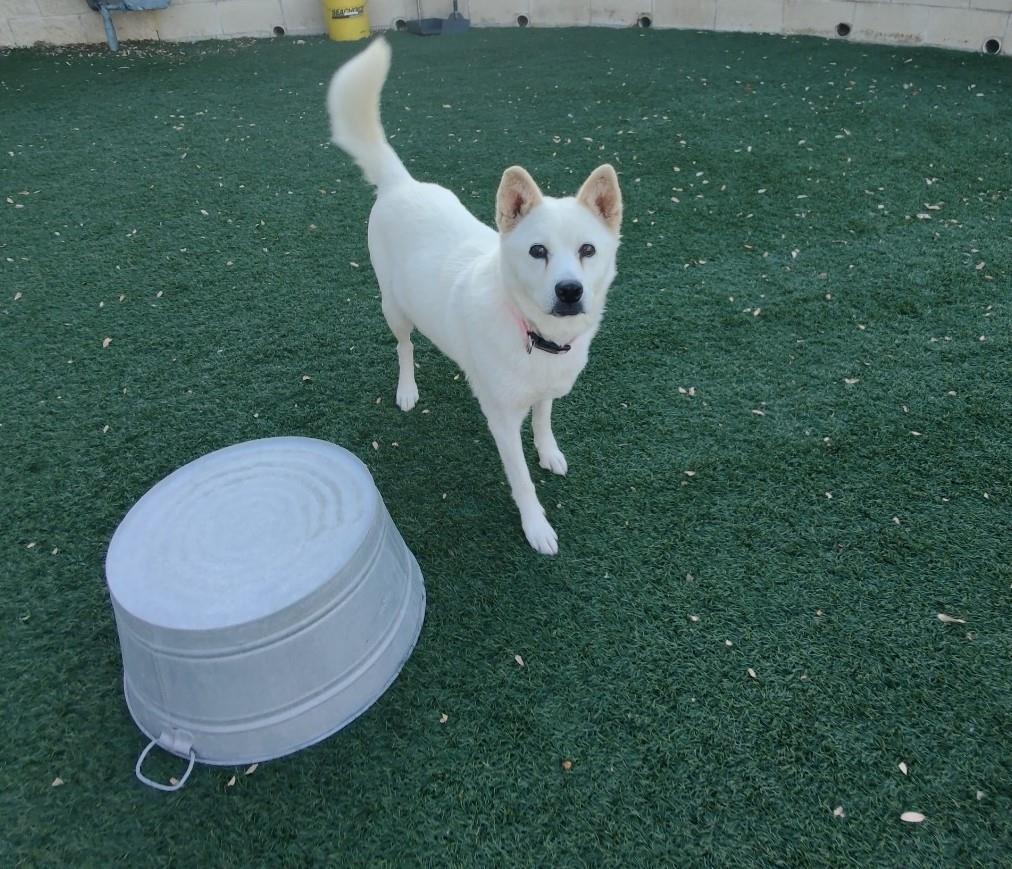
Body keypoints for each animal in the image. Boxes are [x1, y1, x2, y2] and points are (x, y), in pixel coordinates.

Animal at [327, 37, 619, 554]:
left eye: (588, 250)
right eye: (538, 251)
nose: (570, 291)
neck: (536, 335)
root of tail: (402, 184)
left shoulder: (543, 392)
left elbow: (544, 421)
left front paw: (549, 452)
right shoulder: (502, 422)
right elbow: (521, 480)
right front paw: (536, 526)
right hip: (392, 307)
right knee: (404, 347)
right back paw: (407, 389)